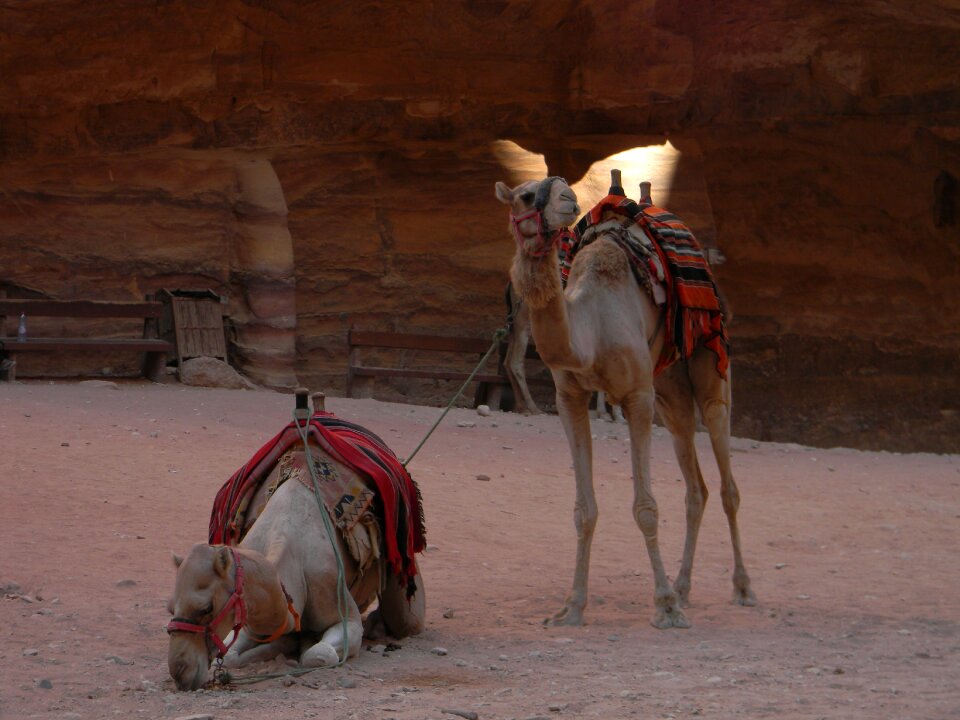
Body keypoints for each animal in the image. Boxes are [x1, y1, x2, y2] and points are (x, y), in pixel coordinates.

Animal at [496, 173, 756, 624]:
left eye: (561, 188)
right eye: (526, 195)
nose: (567, 199)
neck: (590, 330)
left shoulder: (638, 397)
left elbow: (646, 508)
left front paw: (665, 606)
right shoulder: (570, 399)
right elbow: (584, 510)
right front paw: (572, 606)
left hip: (710, 368)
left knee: (727, 484)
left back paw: (741, 588)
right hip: (670, 392)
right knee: (696, 488)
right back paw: (684, 586)